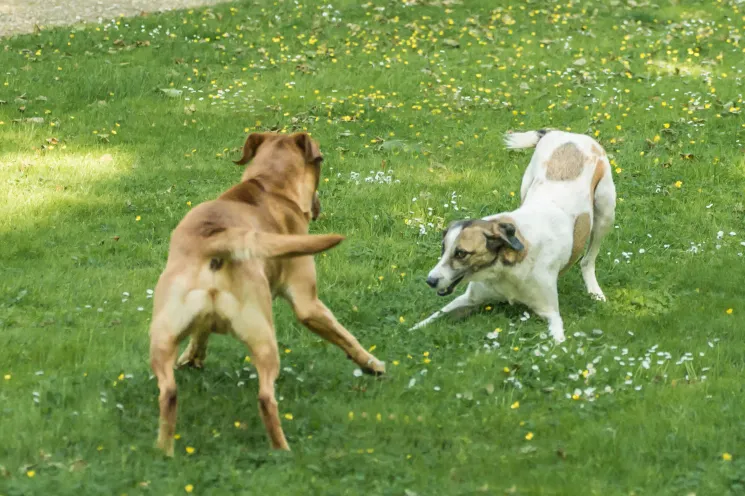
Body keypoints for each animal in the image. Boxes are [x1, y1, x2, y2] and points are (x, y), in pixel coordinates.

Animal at [149, 130, 386, 456]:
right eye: (321, 160)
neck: (269, 186)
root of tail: (215, 240)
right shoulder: (308, 302)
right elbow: (346, 337)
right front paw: (372, 364)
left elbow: (200, 335)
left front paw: (193, 358)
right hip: (263, 336)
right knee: (265, 398)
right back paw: (282, 450)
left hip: (161, 336)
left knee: (168, 393)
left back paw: (164, 451)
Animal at [410, 130, 612, 342]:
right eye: (443, 248)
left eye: (461, 253)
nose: (430, 281)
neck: (505, 267)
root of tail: (565, 133)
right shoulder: (467, 300)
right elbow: (430, 319)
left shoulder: (552, 314)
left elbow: (558, 342)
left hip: (605, 213)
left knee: (587, 260)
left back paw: (595, 292)